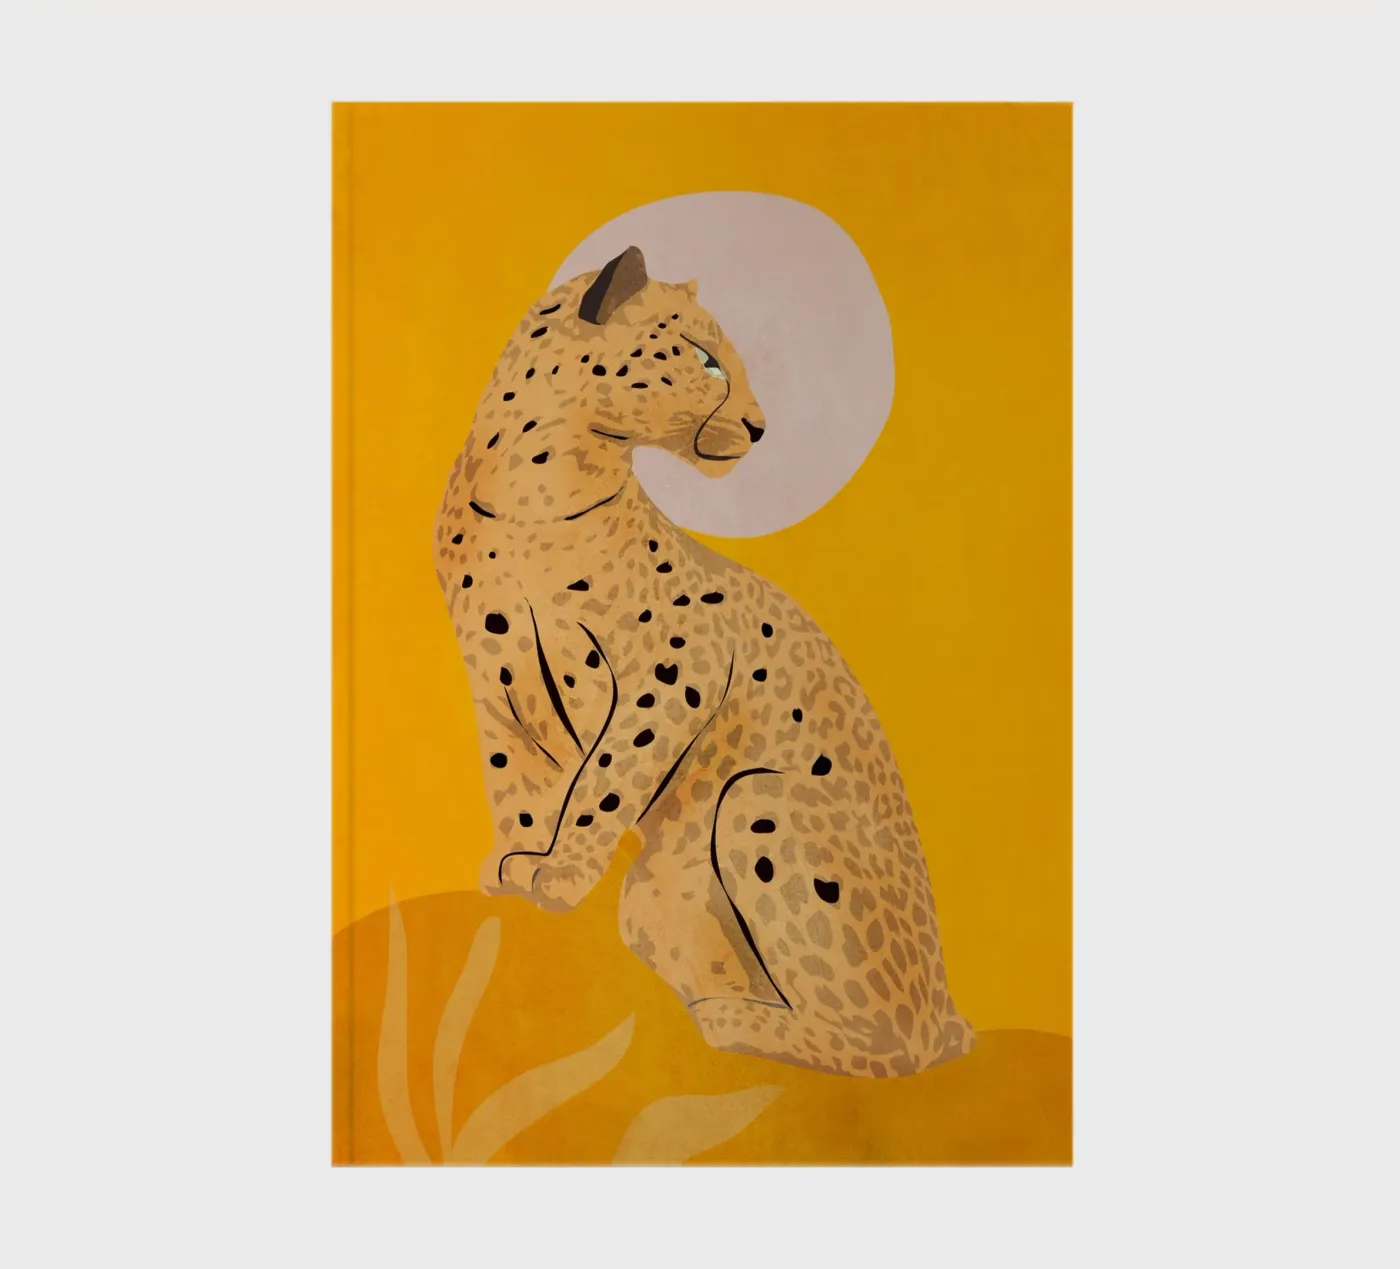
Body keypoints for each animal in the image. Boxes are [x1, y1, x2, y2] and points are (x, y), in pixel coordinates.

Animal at [433, 246, 974, 1077]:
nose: (760, 426)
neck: (532, 487)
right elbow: (516, 782)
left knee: (893, 1048)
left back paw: (725, 1019)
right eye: (704, 358)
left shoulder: (675, 674)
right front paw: (516, 860)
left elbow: (603, 780)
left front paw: (557, 869)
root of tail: (950, 1007)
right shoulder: (495, 673)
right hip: (656, 902)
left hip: (754, 799)